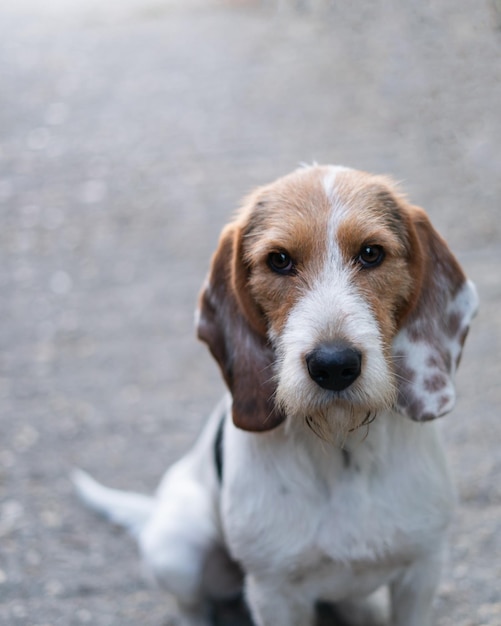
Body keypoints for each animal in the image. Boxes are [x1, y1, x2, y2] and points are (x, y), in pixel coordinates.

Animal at [74, 165, 476, 624]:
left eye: (372, 253)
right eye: (279, 260)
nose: (333, 365)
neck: (342, 450)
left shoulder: (422, 573)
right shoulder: (274, 593)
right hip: (177, 555)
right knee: (191, 605)